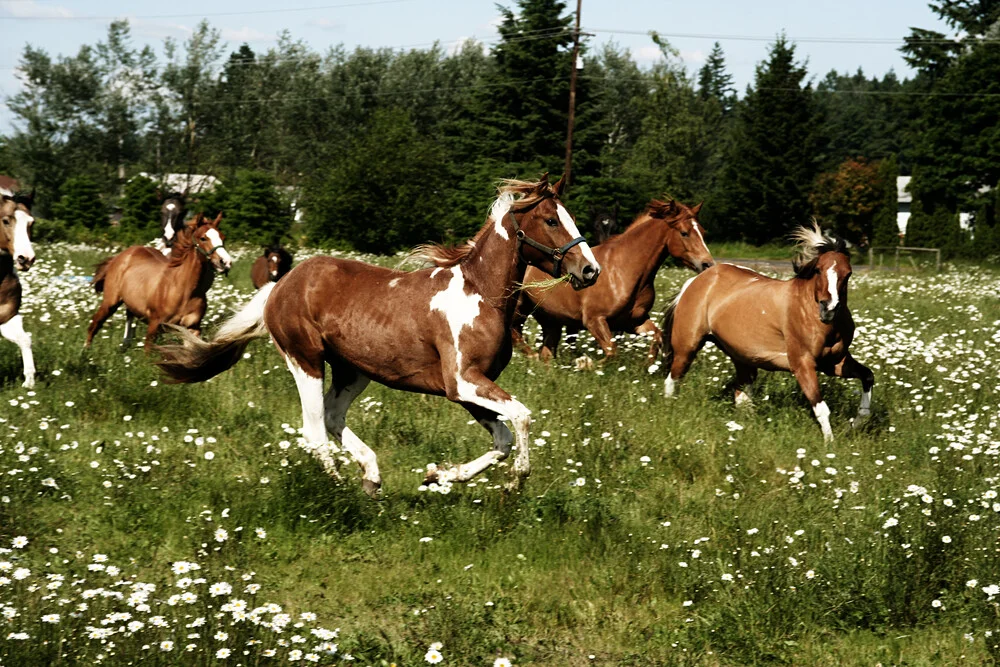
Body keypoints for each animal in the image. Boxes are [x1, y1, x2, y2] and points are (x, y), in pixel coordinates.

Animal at [86, 213, 234, 350]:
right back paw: (86, 352)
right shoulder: (154, 324)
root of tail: (120, 256)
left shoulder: (192, 327)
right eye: (203, 238)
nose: (225, 262)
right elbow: (148, 351)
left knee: (129, 317)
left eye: (223, 237)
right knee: (95, 324)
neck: (185, 290)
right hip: (110, 302)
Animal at [156, 175, 600, 498]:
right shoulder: (462, 382)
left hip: (353, 371)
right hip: (306, 360)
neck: (480, 295)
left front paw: (439, 476)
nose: (590, 270)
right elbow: (522, 418)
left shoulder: (470, 388)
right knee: (314, 431)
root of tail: (281, 285)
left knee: (333, 417)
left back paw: (370, 475)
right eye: (551, 220)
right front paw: (515, 481)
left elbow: (503, 439)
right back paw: (340, 490)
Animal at [512, 200, 716, 366]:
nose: (708, 264)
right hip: (520, 308)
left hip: (549, 318)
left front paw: (647, 368)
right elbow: (612, 352)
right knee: (515, 333)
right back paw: (533, 358)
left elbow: (656, 338)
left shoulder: (632, 321)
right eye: (684, 233)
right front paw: (584, 364)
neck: (623, 270)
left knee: (546, 350)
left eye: (702, 231)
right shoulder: (594, 320)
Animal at [664, 222, 876, 444]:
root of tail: (696, 281)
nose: (829, 309)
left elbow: (868, 377)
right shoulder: (802, 364)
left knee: (741, 395)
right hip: (687, 348)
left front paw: (856, 423)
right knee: (672, 379)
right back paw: (671, 410)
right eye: (818, 270)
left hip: (743, 358)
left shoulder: (835, 363)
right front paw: (830, 444)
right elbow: (821, 408)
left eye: (848, 274)